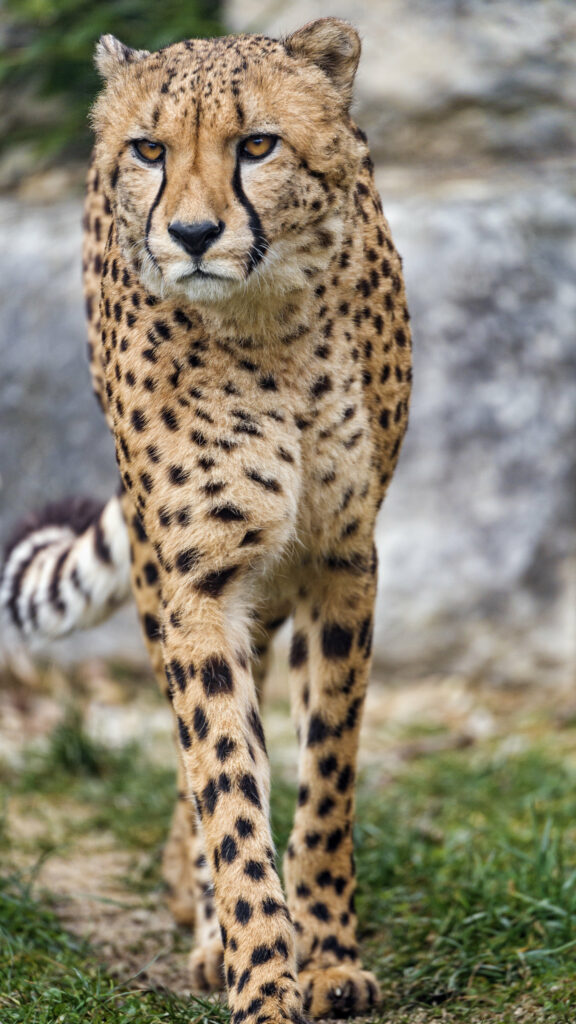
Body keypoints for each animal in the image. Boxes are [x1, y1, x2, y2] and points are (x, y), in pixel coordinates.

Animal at [1, 18, 412, 1023]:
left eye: (256, 145)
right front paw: (259, 973)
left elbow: (326, 776)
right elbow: (226, 779)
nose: (192, 235)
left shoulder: (343, 560)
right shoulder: (197, 579)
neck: (269, 323)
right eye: (149, 150)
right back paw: (206, 926)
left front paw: (327, 957)